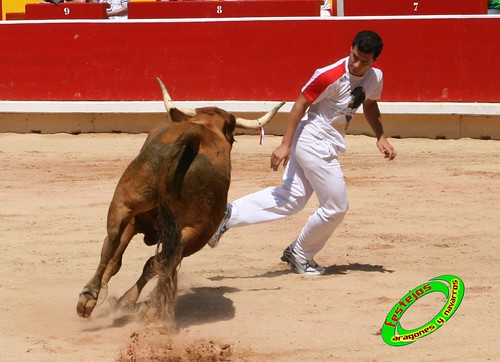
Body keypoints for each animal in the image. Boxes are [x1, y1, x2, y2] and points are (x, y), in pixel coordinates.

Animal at [75, 78, 286, 320]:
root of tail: (195, 137)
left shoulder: (136, 219)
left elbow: (121, 255)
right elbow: (147, 262)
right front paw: (128, 301)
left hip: (125, 202)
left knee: (112, 239)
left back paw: (89, 298)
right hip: (199, 232)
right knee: (160, 260)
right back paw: (145, 305)